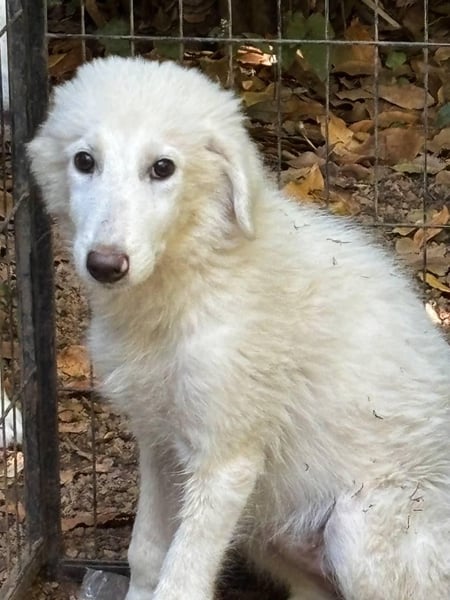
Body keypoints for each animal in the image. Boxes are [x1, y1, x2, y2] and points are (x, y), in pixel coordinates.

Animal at [28, 56, 450, 600]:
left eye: (162, 168)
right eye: (84, 161)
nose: (105, 264)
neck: (192, 281)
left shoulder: (226, 457)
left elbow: (181, 580)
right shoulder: (159, 443)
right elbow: (146, 552)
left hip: (360, 526)